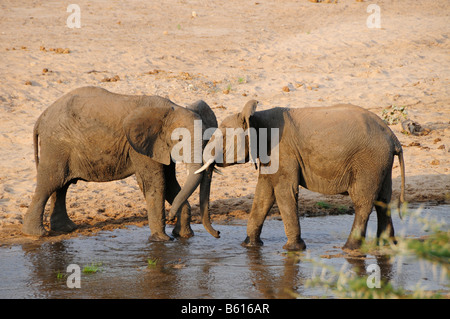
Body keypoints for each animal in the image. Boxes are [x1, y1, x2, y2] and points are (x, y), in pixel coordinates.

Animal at [22, 86, 220, 241]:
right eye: (179, 139)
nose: (218, 233)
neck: (172, 109)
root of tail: (42, 116)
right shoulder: (141, 147)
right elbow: (156, 183)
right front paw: (162, 240)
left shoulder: (160, 146)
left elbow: (171, 184)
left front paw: (184, 236)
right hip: (56, 145)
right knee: (50, 183)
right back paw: (36, 234)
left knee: (61, 186)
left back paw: (66, 229)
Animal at [195, 101, 406, 251]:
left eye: (222, 137)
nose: (219, 233)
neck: (256, 117)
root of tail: (393, 137)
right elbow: (264, 193)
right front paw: (249, 245)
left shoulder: (282, 150)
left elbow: (284, 191)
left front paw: (293, 249)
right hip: (381, 162)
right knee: (383, 199)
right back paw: (388, 245)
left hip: (368, 160)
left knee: (363, 201)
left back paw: (349, 248)